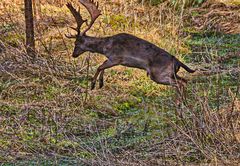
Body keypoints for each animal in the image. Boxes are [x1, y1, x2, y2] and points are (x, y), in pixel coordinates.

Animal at [65, 0, 195, 90]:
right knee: (185, 81)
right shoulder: (112, 59)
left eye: (76, 43)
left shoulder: (117, 58)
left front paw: (93, 84)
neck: (106, 46)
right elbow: (102, 66)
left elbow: (100, 66)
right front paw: (101, 83)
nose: (73, 55)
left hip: (158, 74)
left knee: (180, 83)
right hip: (171, 73)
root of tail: (177, 61)